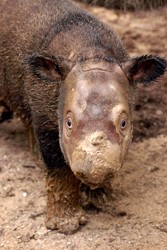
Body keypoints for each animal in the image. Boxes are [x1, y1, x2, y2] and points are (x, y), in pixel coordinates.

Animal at [0, 0, 166, 234]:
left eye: (124, 123)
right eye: (68, 122)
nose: (96, 170)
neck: (90, 53)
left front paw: (102, 199)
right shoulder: (45, 116)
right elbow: (58, 166)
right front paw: (65, 225)